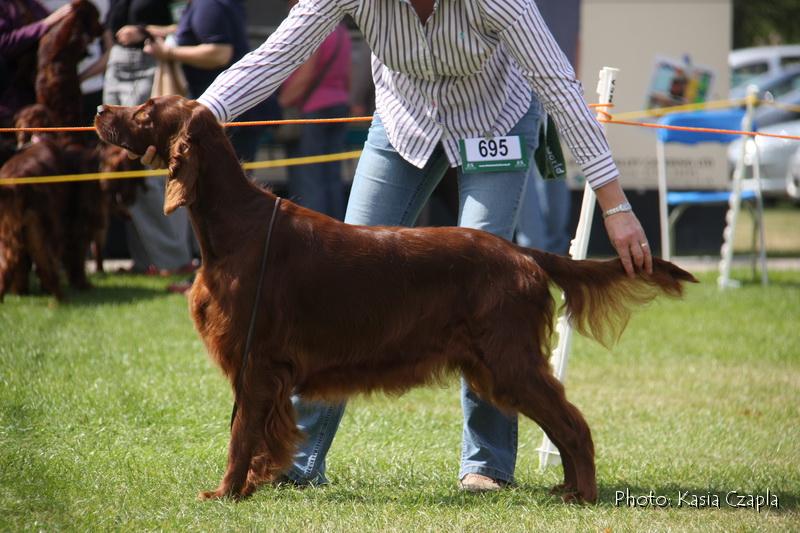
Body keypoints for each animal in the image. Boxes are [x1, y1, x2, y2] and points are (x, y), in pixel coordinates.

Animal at [92, 96, 692, 502]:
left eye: (144, 111)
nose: (99, 108)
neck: (234, 226)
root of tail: (522, 252)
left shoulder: (255, 359)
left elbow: (240, 435)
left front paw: (225, 493)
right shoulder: (265, 369)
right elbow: (262, 434)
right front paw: (258, 483)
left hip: (508, 359)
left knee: (573, 425)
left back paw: (580, 494)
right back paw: (567, 488)